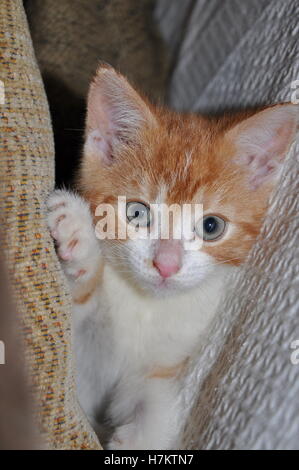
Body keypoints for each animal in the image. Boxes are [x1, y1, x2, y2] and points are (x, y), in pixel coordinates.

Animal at [47, 64, 299, 450]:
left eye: (211, 226)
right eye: (136, 213)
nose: (166, 265)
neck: (147, 307)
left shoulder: (168, 357)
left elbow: (158, 402)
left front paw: (136, 440)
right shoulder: (85, 366)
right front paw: (78, 235)